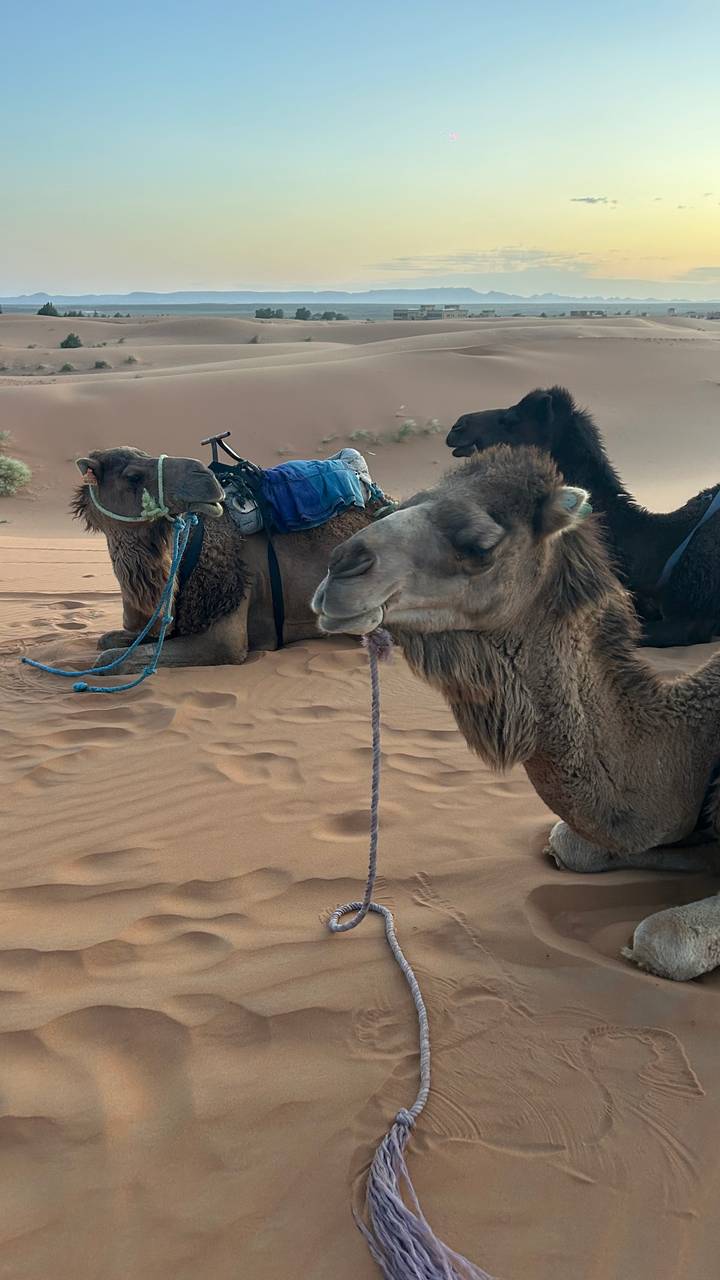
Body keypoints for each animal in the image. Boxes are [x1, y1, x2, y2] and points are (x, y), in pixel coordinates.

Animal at [312, 445, 720, 982]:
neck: (692, 743)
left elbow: (664, 938)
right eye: (393, 508)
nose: (341, 567)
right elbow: (570, 844)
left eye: (479, 545)